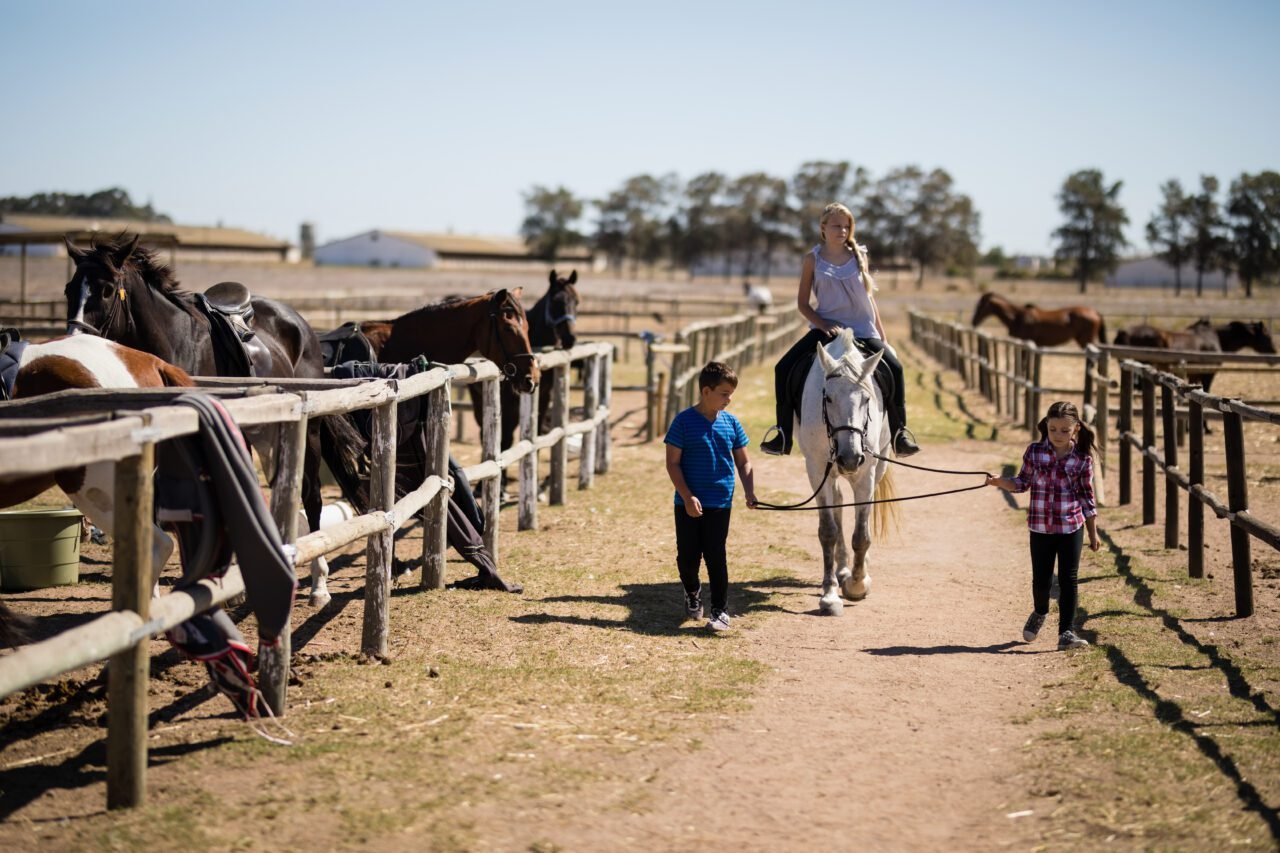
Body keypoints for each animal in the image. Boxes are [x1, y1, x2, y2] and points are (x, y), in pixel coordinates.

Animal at [62, 233, 336, 605]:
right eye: (69, 289)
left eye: (106, 290)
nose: (74, 344)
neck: (173, 344)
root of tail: (302, 326)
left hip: (311, 432)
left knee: (310, 495)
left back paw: (319, 584)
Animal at [796, 329, 898, 616]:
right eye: (828, 398)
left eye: (866, 399)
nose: (850, 457)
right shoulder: (817, 469)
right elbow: (828, 531)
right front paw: (830, 595)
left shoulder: (866, 473)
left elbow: (862, 535)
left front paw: (857, 584)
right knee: (840, 506)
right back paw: (842, 570)